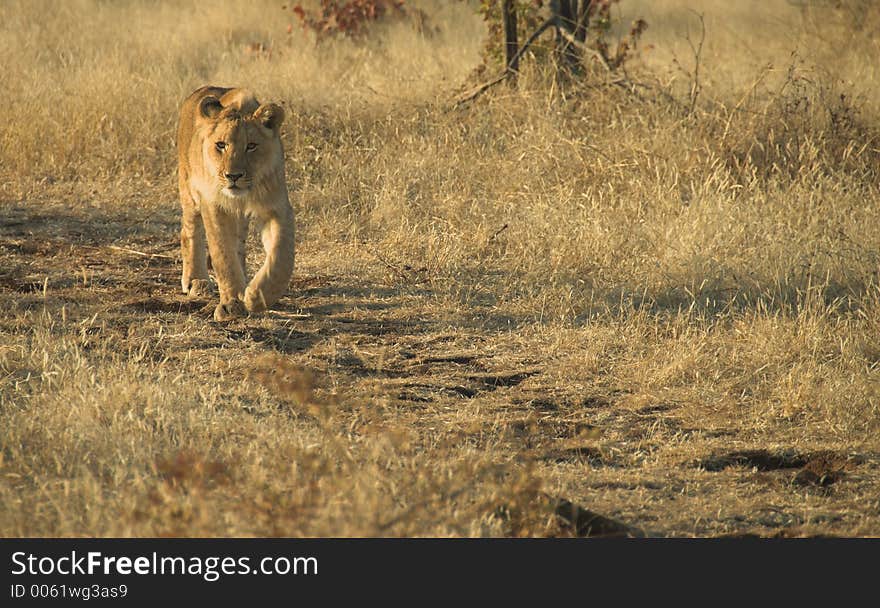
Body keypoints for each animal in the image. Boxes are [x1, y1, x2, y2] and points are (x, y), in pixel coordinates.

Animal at [178, 87, 296, 324]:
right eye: (221, 145)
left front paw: (257, 296)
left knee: (239, 245)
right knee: (189, 233)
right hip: (189, 193)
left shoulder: (277, 207)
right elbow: (223, 255)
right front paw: (231, 304)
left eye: (251, 146)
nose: (233, 176)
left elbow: (282, 257)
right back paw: (197, 281)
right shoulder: (214, 206)